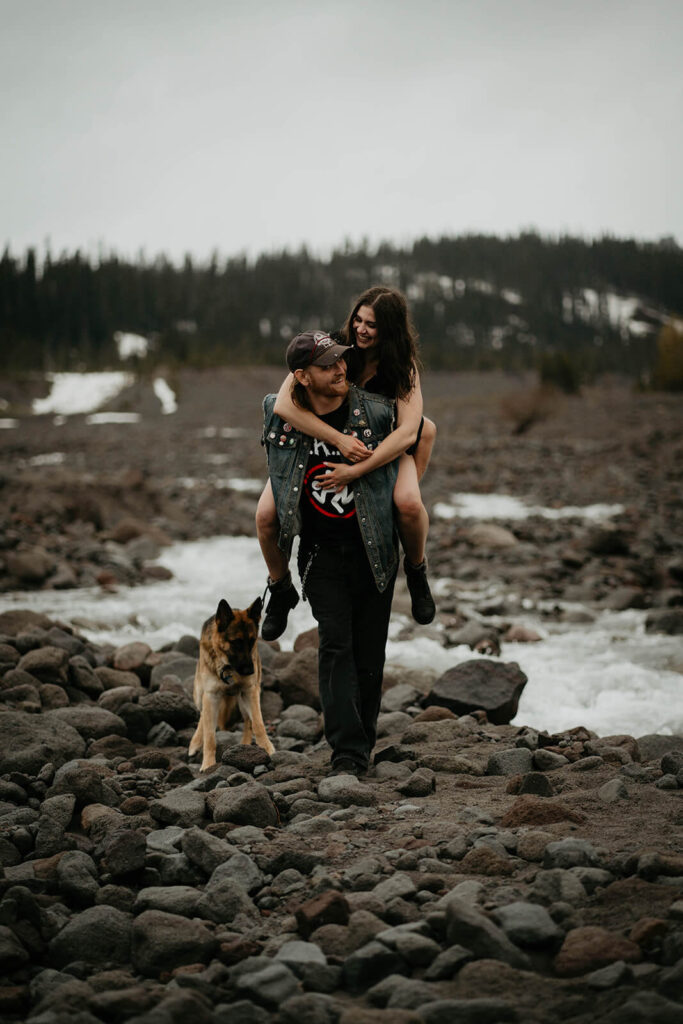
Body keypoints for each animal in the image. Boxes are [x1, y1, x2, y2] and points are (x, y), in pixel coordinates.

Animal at [189, 598, 274, 770]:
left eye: (252, 641)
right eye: (236, 642)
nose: (251, 671)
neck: (228, 667)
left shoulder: (250, 691)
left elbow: (258, 723)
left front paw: (267, 748)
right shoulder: (211, 696)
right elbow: (210, 736)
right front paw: (208, 764)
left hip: (243, 700)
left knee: (248, 722)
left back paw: (245, 746)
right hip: (200, 695)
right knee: (203, 717)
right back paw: (195, 743)